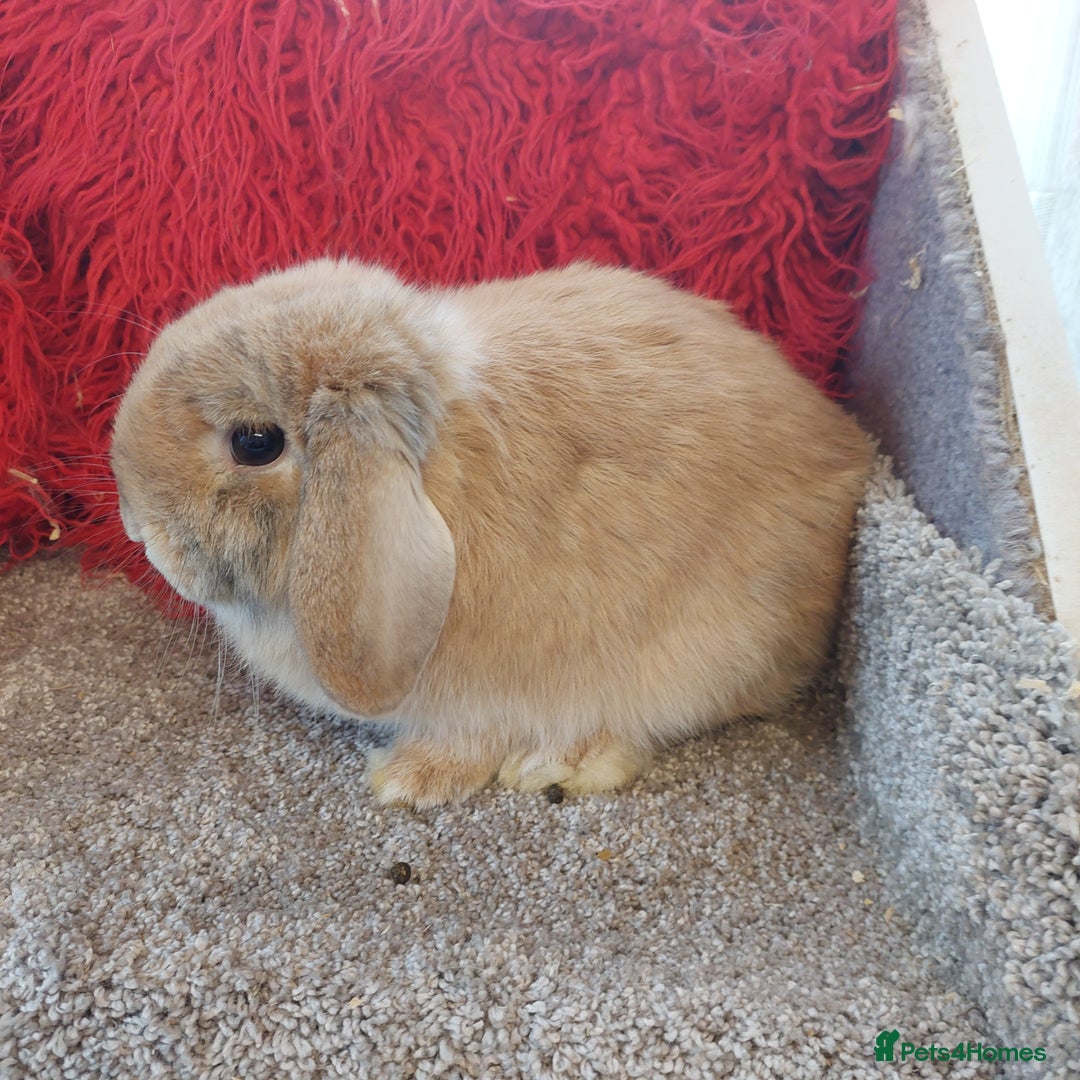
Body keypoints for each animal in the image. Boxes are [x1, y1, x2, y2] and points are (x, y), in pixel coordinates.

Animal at [110, 259, 873, 808]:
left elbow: (474, 740)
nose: (136, 529)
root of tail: (853, 456)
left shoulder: (492, 695)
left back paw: (557, 764)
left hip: (704, 655)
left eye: (255, 443)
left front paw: (404, 779)